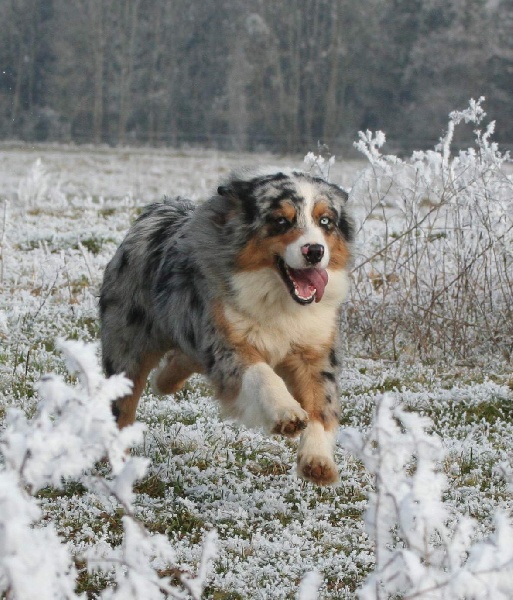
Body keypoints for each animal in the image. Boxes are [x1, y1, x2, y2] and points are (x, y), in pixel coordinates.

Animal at [101, 166, 352, 486]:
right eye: (281, 221)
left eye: (325, 221)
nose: (315, 251)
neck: (279, 300)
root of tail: (158, 209)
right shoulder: (227, 341)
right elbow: (262, 374)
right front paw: (287, 413)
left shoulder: (315, 350)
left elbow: (323, 404)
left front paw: (317, 460)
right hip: (128, 347)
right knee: (122, 408)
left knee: (181, 361)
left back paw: (163, 381)